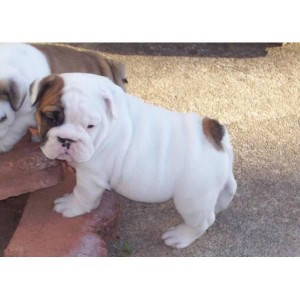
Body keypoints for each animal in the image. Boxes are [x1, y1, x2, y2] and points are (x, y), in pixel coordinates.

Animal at [30, 72, 237, 248]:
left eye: (90, 126)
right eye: (51, 118)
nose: (67, 139)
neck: (107, 126)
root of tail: (214, 134)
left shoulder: (90, 177)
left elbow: (83, 195)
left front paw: (71, 205)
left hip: (191, 198)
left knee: (203, 221)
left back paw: (180, 236)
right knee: (229, 190)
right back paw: (219, 205)